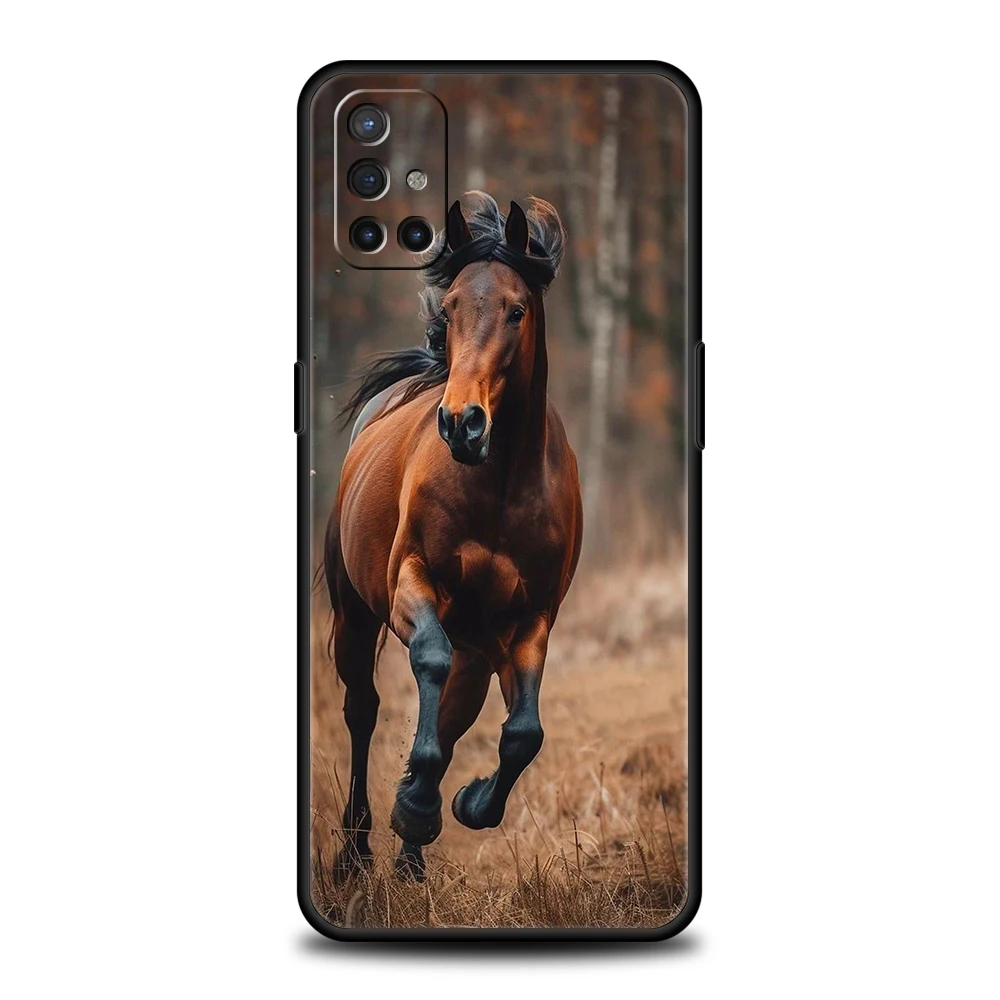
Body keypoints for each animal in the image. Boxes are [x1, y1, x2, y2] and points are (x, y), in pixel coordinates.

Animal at [324, 192, 583, 880]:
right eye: (451, 308)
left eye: (517, 310)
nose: (462, 423)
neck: (500, 485)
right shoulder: (412, 583)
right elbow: (428, 659)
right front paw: (415, 806)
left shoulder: (530, 620)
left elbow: (523, 733)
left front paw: (460, 804)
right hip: (354, 613)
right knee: (363, 710)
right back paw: (356, 849)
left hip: (479, 650)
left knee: (449, 715)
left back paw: (411, 855)